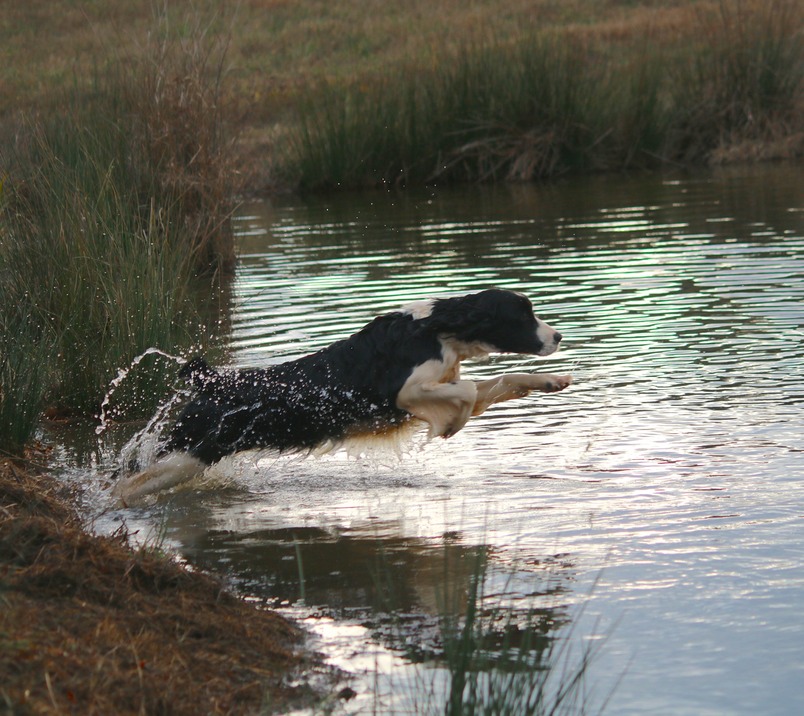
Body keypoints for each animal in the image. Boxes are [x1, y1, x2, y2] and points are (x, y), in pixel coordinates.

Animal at [113, 289, 571, 502]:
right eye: (523, 315)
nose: (558, 337)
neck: (434, 330)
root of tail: (208, 381)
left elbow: (498, 381)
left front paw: (553, 381)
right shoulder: (406, 392)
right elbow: (469, 390)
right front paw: (452, 426)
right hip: (189, 454)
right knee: (127, 485)